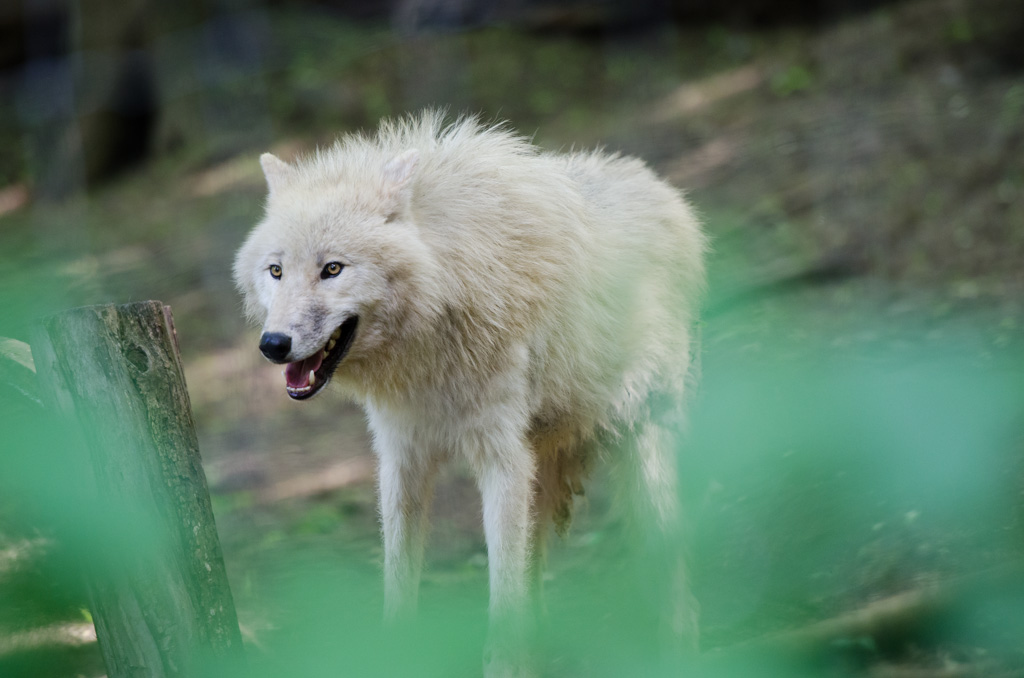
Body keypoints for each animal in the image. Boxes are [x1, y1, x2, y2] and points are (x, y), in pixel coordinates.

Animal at [234, 111, 706, 676]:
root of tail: (663, 190)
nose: (273, 345)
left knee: (672, 575)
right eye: (276, 271)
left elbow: (501, 605)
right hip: (540, 470)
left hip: (641, 454)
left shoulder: (501, 461)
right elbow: (399, 587)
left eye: (332, 269)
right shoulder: (402, 461)